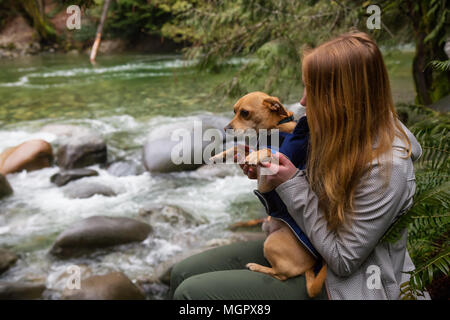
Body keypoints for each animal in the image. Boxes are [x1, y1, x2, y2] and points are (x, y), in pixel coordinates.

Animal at [211, 92, 326, 298]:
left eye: (245, 113)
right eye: (234, 111)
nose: (226, 129)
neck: (274, 129)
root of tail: (311, 266)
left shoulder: (268, 179)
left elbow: (267, 151)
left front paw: (257, 155)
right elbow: (239, 147)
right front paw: (220, 155)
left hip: (271, 242)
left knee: (281, 275)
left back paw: (257, 267)